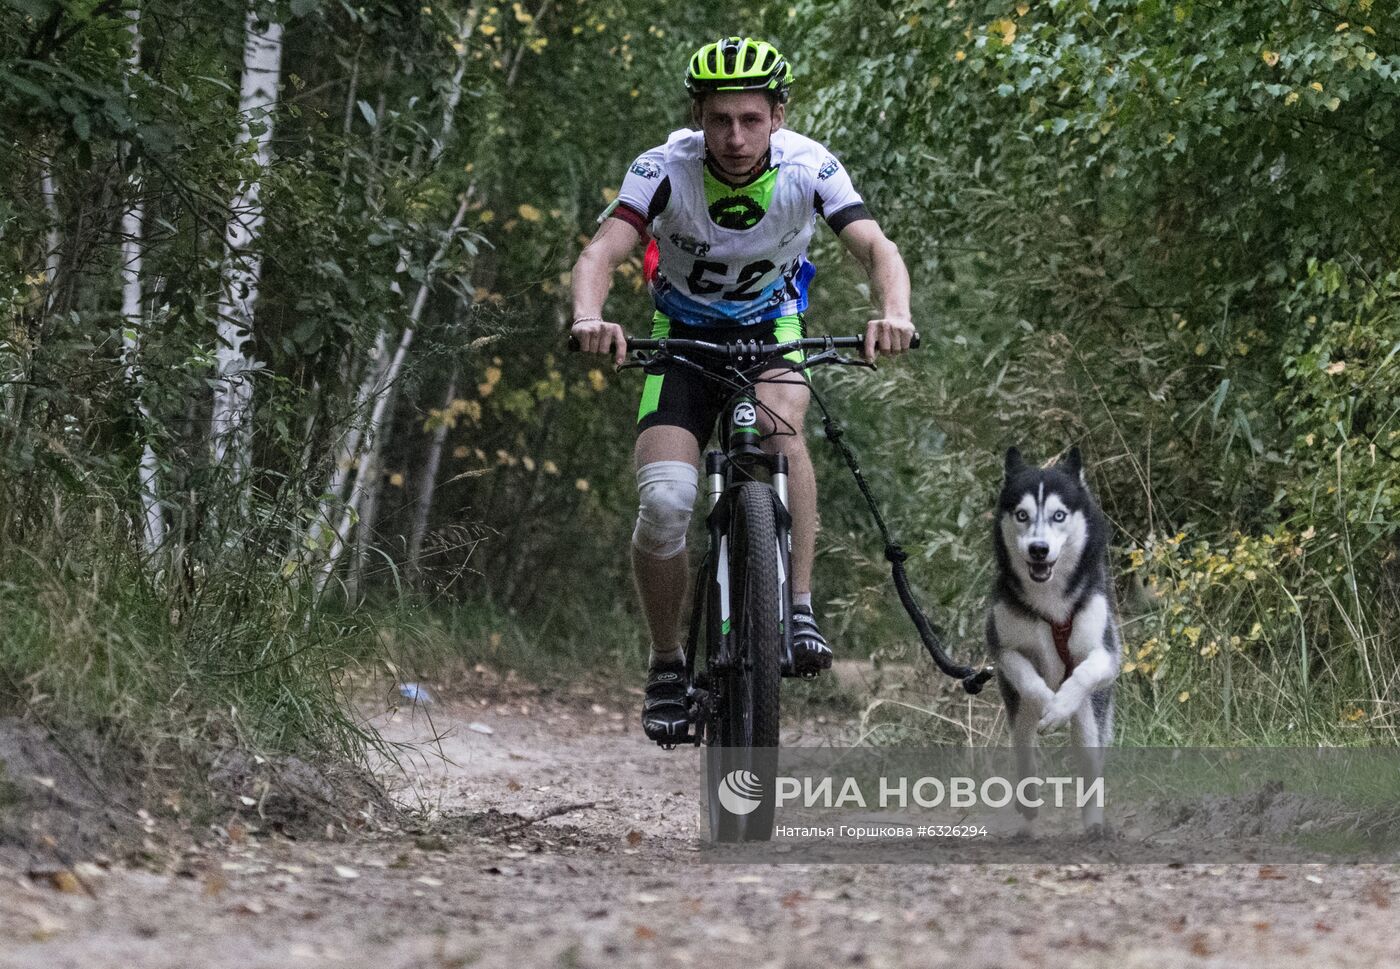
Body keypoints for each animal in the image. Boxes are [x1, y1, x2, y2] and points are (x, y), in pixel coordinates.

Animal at [991, 445, 1120, 834]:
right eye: (1022, 515)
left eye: (1058, 515)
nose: (1038, 549)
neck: (1049, 603)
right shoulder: (1002, 648)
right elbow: (1030, 679)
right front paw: (1050, 703)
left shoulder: (1107, 653)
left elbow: (1084, 672)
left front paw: (1060, 706)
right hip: (1017, 713)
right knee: (1024, 751)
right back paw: (1028, 807)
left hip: (1091, 721)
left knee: (1090, 768)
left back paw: (1094, 825)